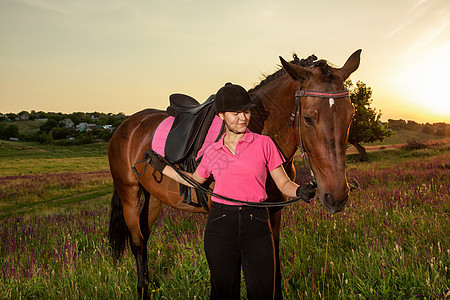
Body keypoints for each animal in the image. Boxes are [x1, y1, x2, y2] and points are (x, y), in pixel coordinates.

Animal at [108, 49, 362, 298]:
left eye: (351, 115)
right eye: (308, 119)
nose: (337, 197)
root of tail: (126, 126)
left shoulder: (273, 213)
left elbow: (273, 265)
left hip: (153, 198)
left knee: (145, 236)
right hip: (129, 195)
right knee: (137, 242)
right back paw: (142, 289)